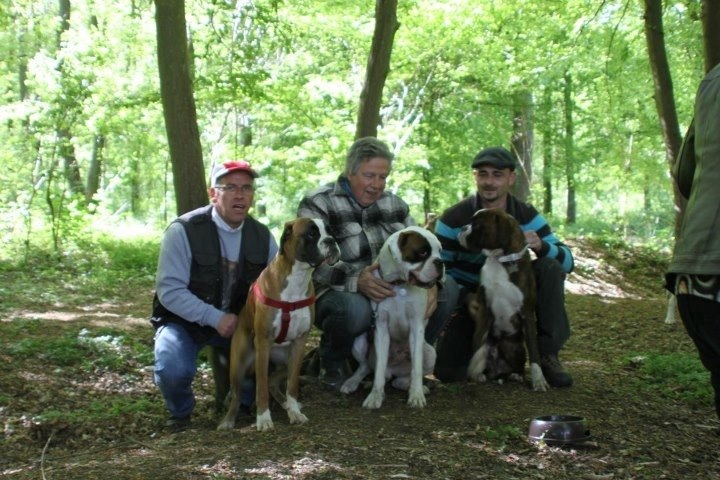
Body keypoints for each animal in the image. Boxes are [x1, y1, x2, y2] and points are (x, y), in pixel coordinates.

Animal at [217, 218, 340, 432]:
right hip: (239, 364)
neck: (298, 277)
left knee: (274, 381)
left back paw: (288, 405)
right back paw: (228, 420)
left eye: (330, 231)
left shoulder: (299, 344)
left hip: (290, 359)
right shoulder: (263, 343)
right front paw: (263, 419)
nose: (331, 241)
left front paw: (294, 411)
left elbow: (291, 385)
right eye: (311, 233)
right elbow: (261, 388)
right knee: (238, 394)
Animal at [338, 225, 444, 408]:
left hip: (430, 353)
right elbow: (379, 371)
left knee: (400, 380)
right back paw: (354, 382)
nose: (440, 262)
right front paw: (375, 396)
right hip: (359, 342)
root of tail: (394, 371)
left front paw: (416, 395)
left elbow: (416, 368)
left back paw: (418, 387)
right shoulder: (381, 328)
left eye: (439, 251)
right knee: (367, 367)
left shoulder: (416, 328)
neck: (399, 285)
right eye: (422, 252)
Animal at [458, 208, 548, 392]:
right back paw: (485, 374)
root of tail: (497, 371)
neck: (500, 259)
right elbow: (478, 341)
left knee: (517, 366)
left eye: (477, 225)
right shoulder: (484, 309)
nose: (463, 228)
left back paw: (516, 375)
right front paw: (473, 374)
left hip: (517, 348)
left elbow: (534, 350)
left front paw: (538, 379)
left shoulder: (527, 313)